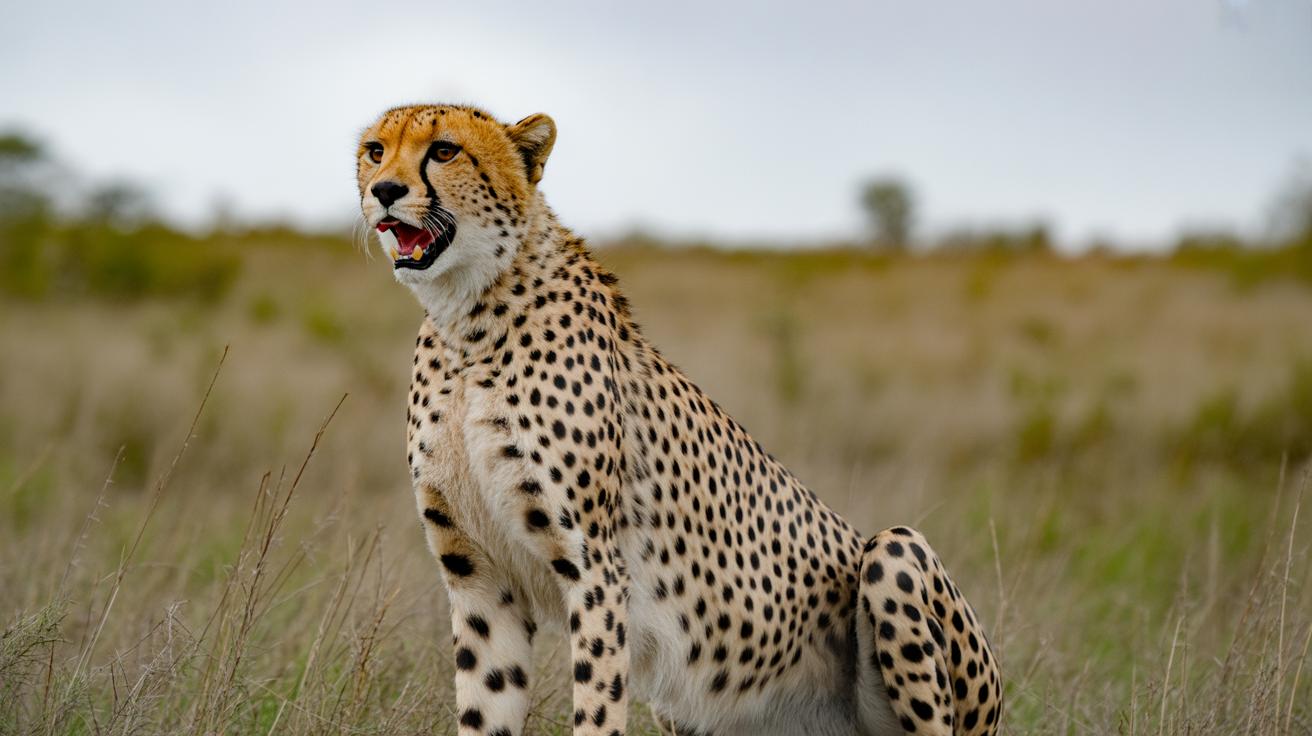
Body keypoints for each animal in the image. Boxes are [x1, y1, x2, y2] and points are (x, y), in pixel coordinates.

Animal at [355, 103, 1002, 736]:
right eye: (375, 151)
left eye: (444, 150)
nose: (385, 190)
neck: (467, 321)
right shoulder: (479, 580)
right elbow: (484, 705)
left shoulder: (596, 572)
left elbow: (596, 708)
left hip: (897, 553)